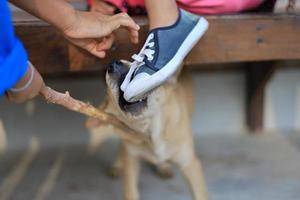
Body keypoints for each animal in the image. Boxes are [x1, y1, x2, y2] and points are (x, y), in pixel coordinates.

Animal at [85, 60, 206, 200]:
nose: (114, 64)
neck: (150, 132)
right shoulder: (131, 161)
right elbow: (131, 192)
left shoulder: (191, 165)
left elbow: (200, 194)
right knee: (122, 148)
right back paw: (118, 164)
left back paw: (162, 166)